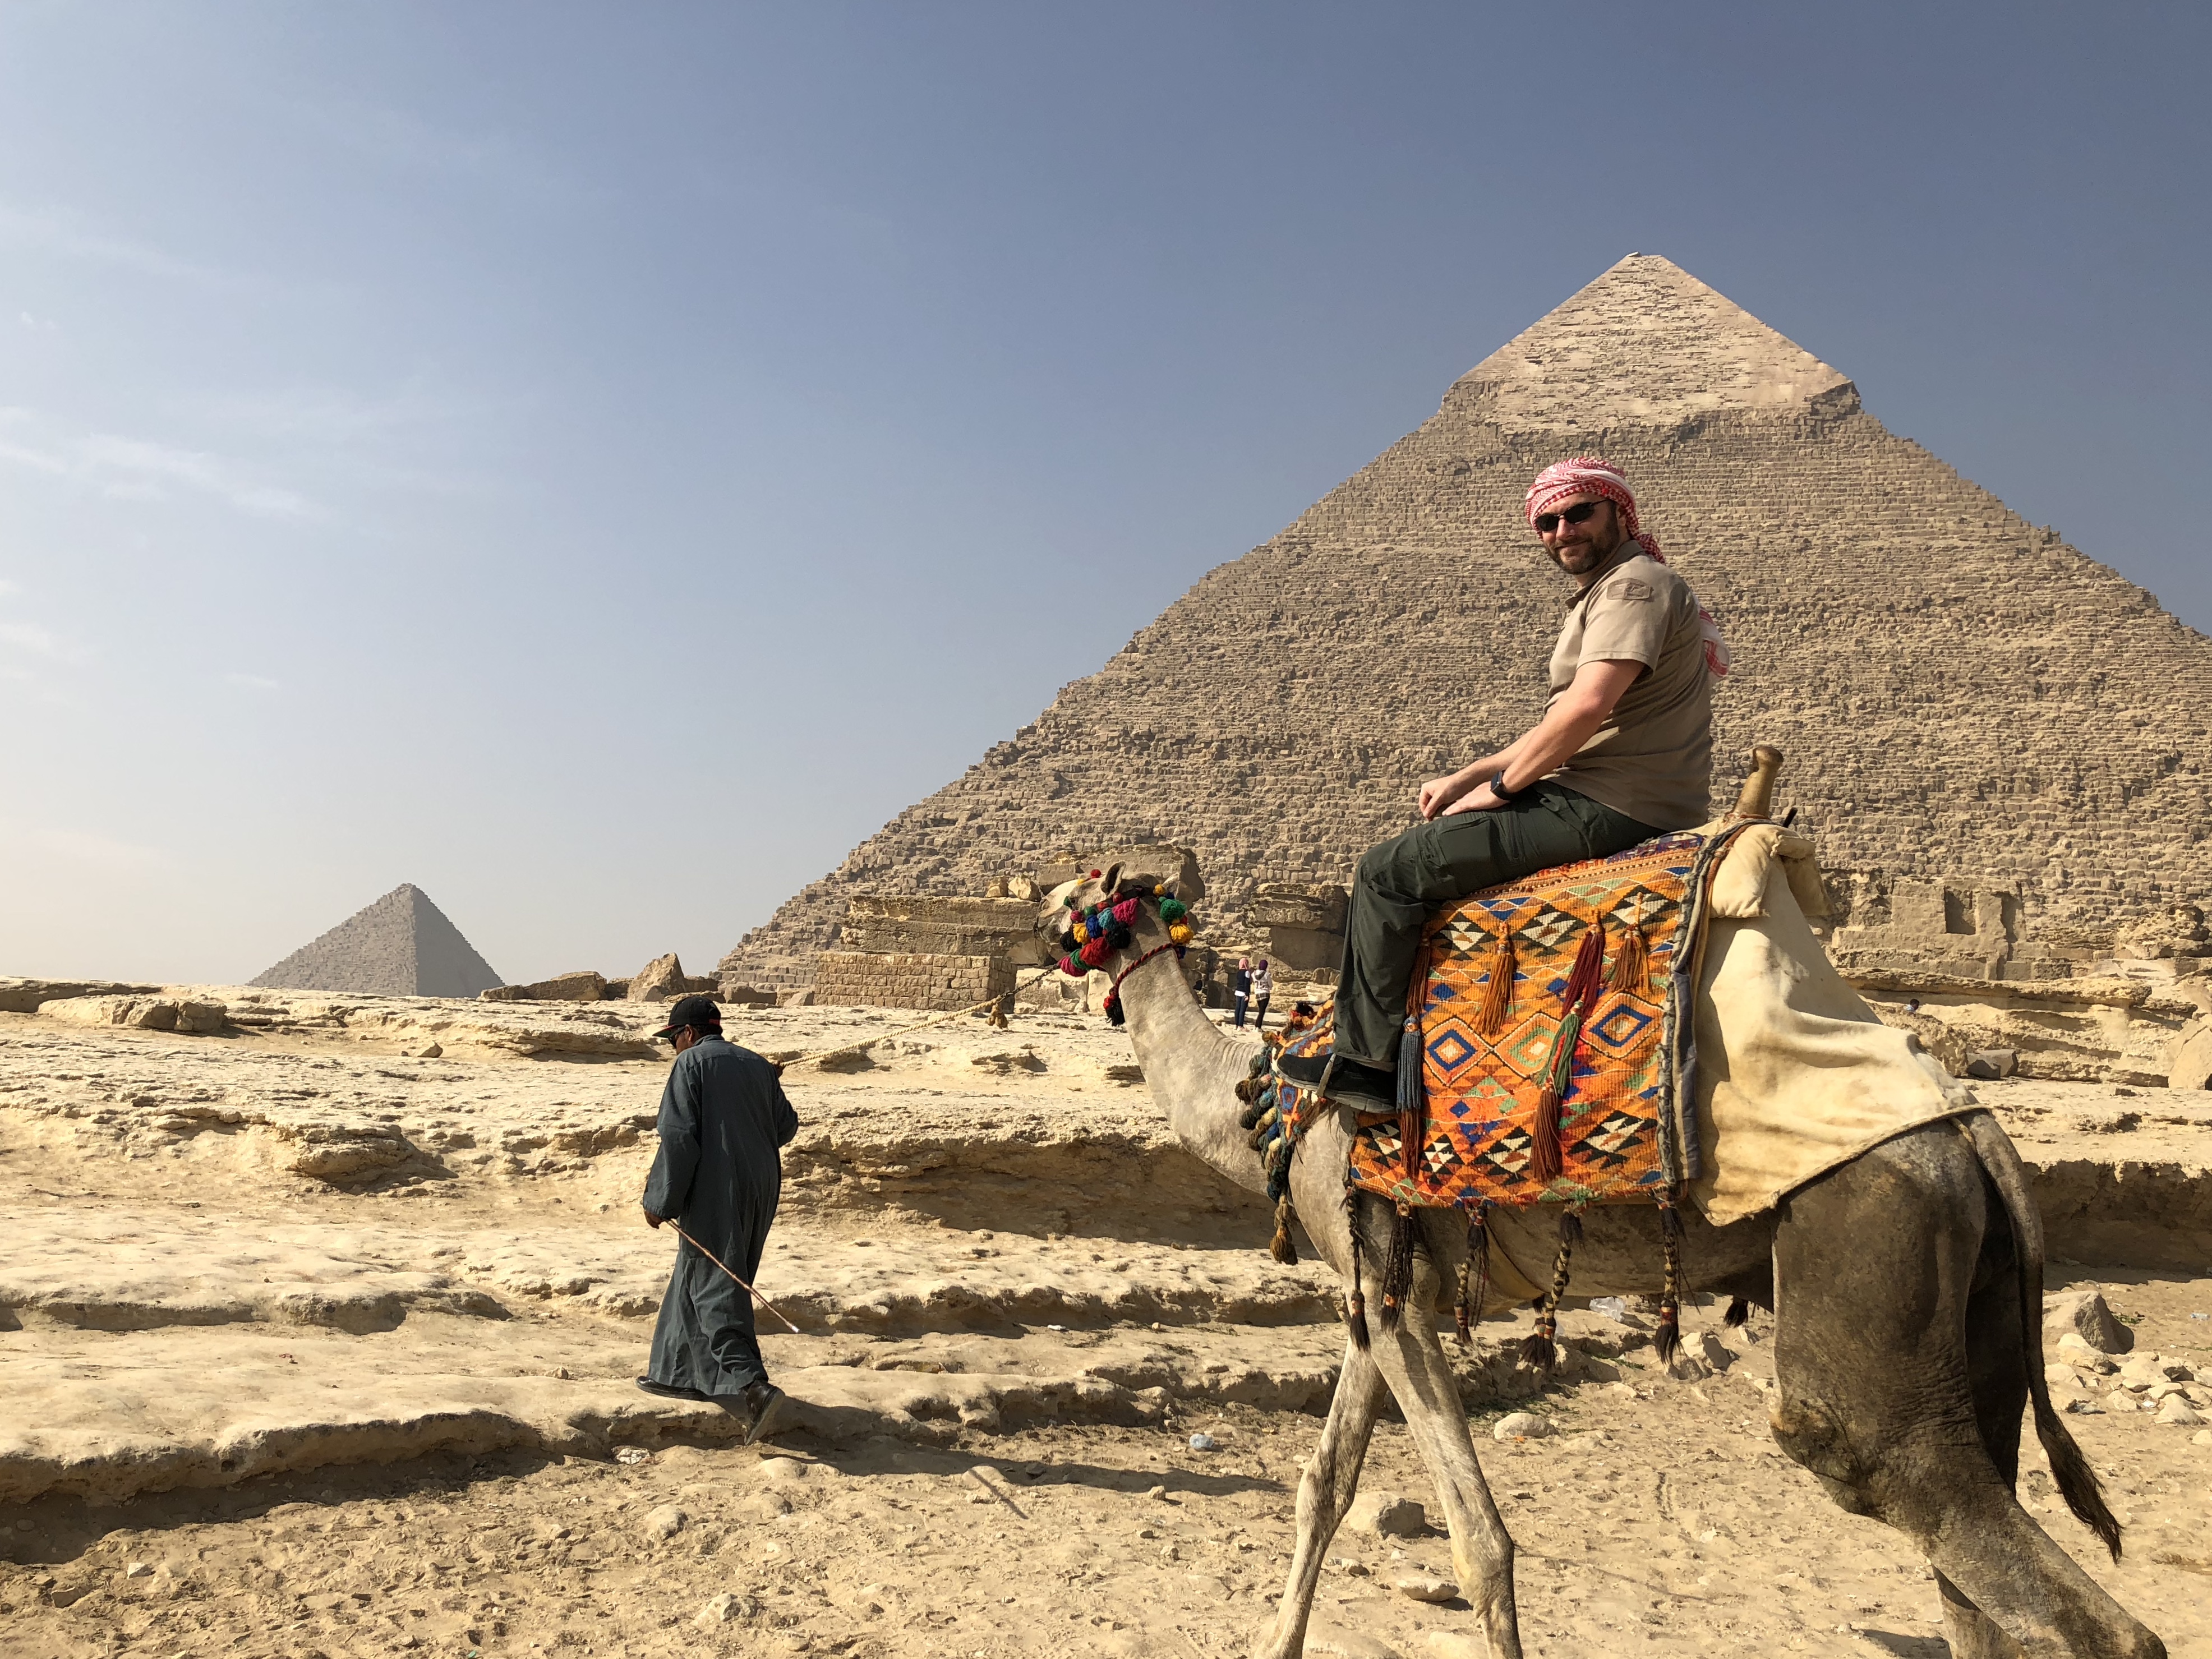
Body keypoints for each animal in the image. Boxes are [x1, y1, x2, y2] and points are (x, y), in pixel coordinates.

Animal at [1044, 783, 2168, 1659]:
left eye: (1065, 896)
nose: (1029, 919)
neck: (1271, 1098)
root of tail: (1976, 1136)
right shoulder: (1376, 1282)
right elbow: (1323, 1484)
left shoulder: (1386, 1281)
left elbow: (1480, 1539)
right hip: (1975, 1328)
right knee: (1974, 1586)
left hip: (1869, 1264)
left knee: (1936, 1507)